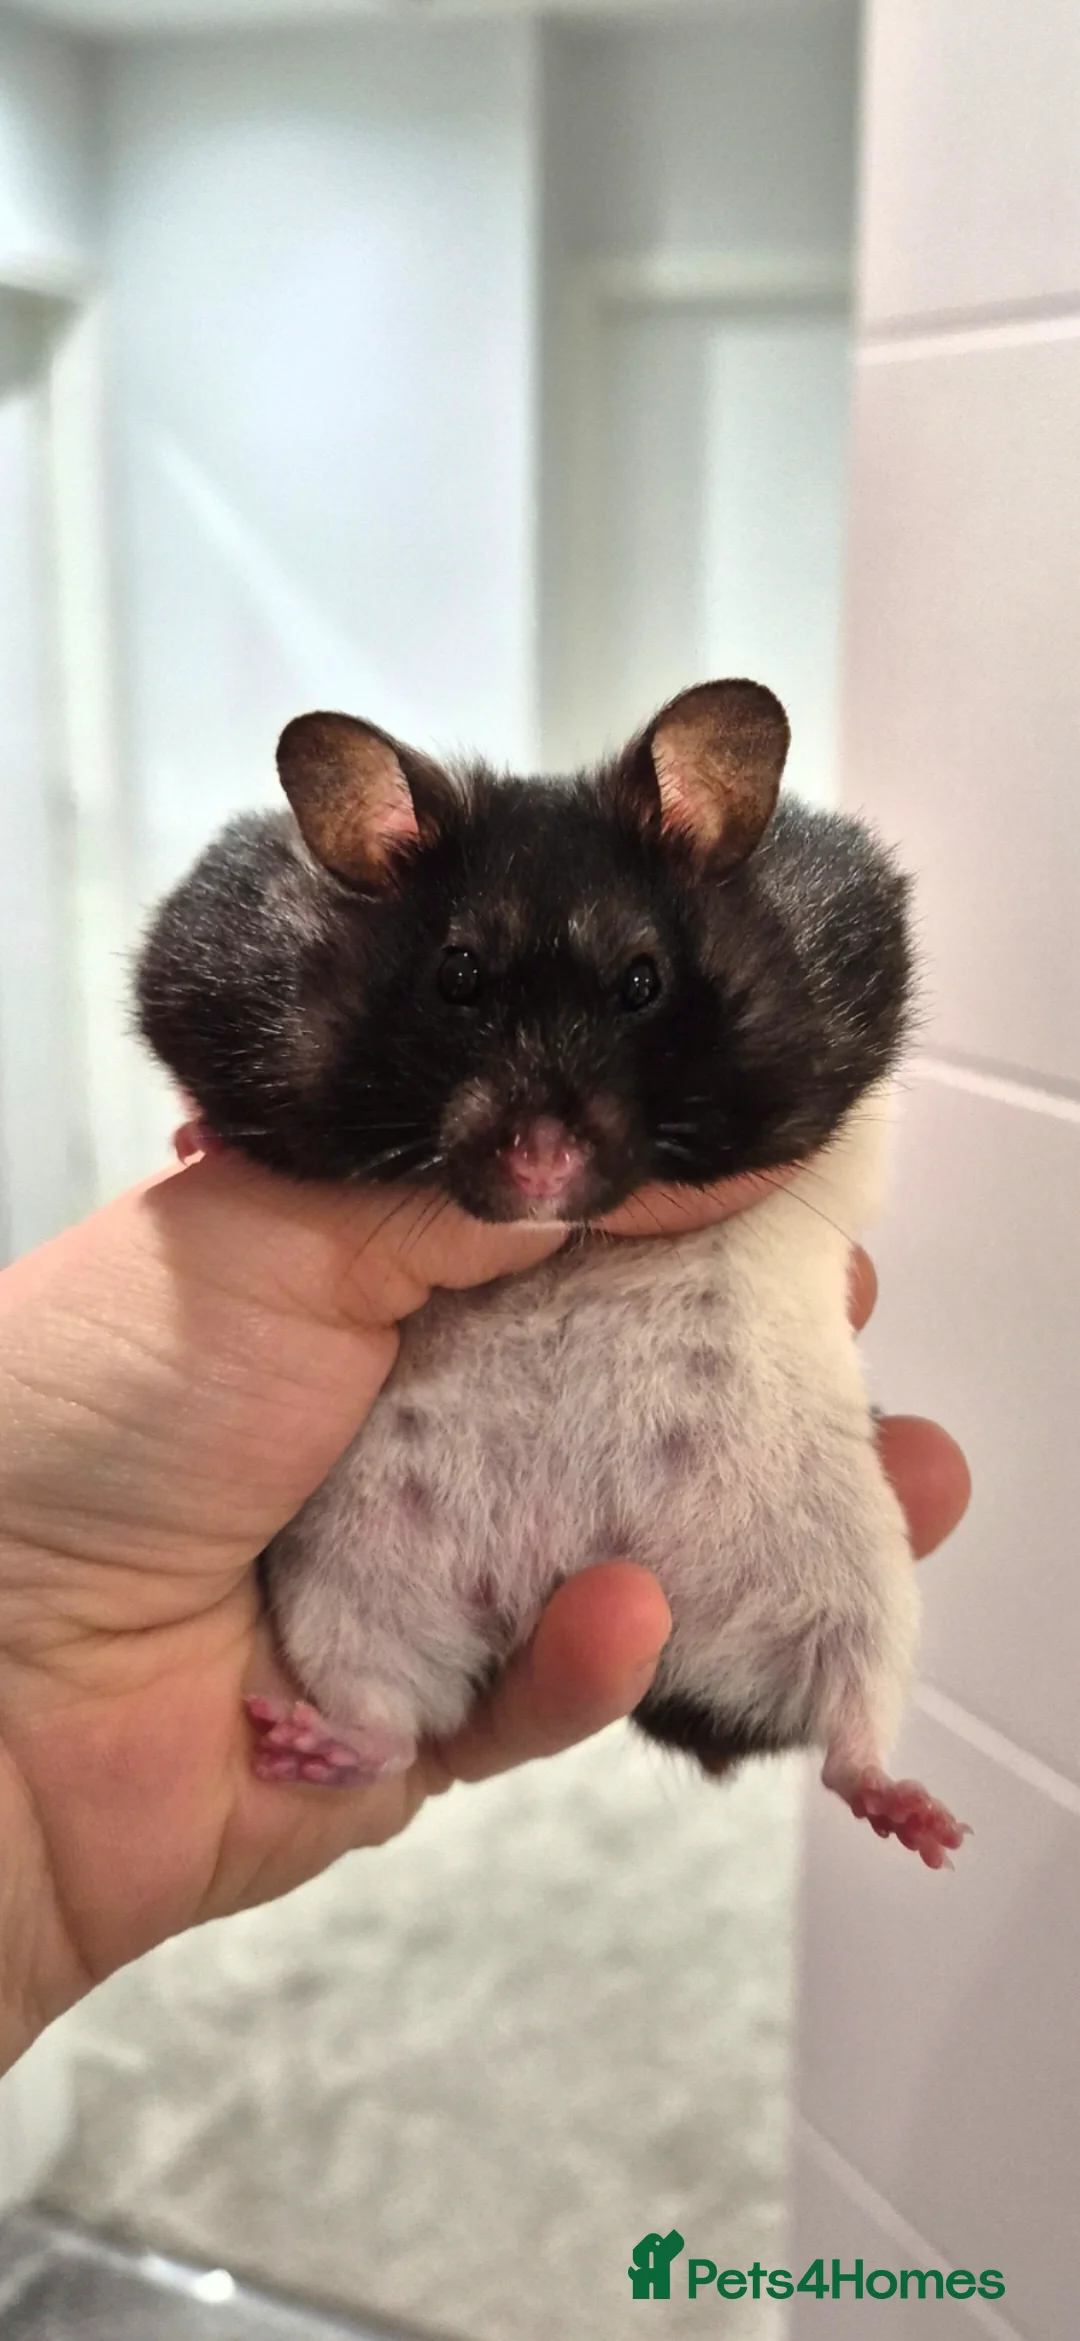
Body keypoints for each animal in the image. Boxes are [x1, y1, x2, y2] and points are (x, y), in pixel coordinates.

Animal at [137, 680, 967, 1866]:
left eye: (642, 982)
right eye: (457, 976)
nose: (542, 1165)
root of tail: (543, 1575)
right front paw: (193, 1138)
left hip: (855, 1571)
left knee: (851, 1721)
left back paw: (926, 1824)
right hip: (346, 1588)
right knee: (389, 1717)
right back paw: (306, 1746)